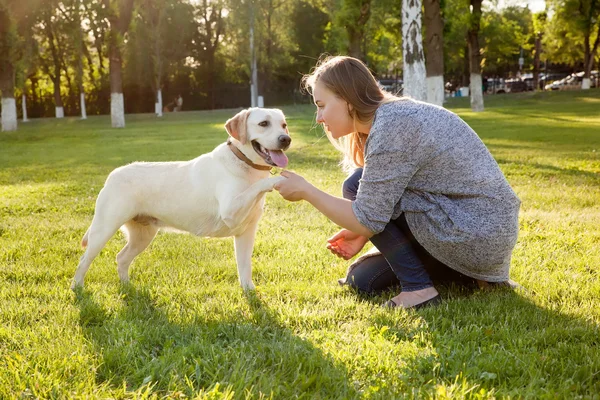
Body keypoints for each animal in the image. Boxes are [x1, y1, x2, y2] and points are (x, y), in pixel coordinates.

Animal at [71, 108, 292, 290]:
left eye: (283, 125)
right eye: (263, 123)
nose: (286, 139)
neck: (245, 165)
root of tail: (112, 175)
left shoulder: (246, 231)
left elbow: (245, 266)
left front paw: (249, 292)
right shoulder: (231, 211)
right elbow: (259, 186)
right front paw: (279, 179)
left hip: (143, 236)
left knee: (121, 258)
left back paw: (127, 286)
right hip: (103, 230)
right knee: (83, 260)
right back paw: (78, 289)